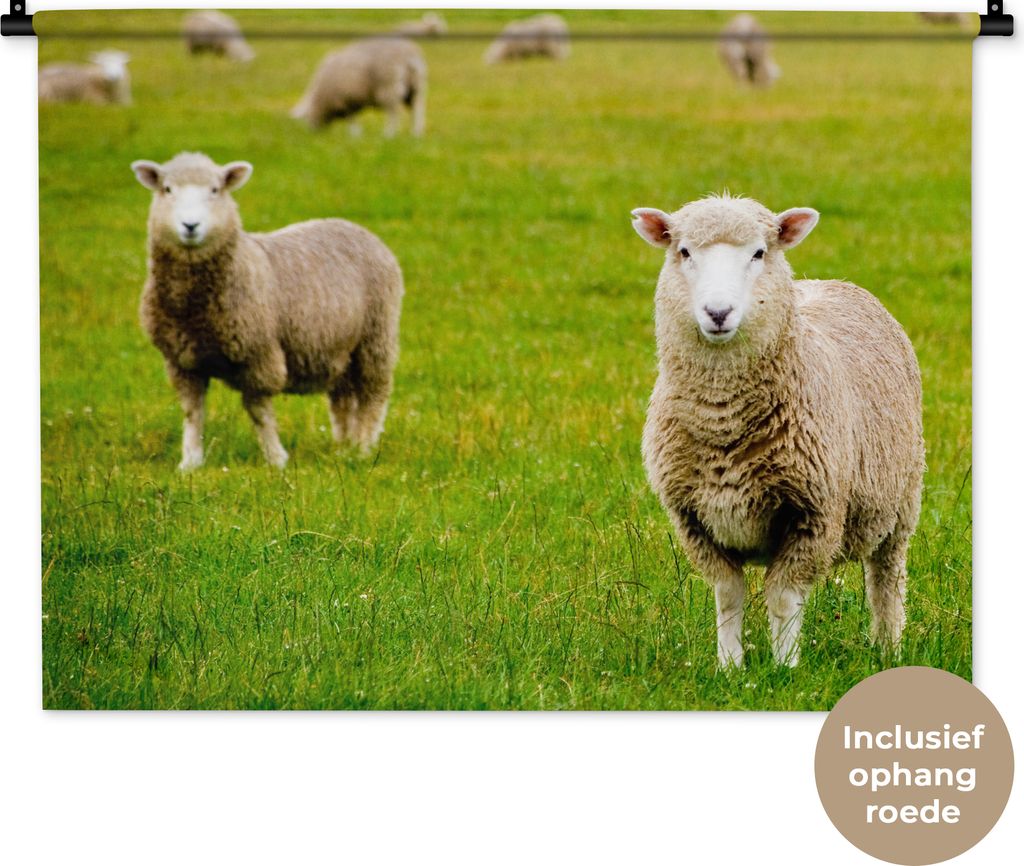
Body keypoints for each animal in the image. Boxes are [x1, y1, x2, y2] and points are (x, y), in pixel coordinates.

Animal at [131, 152, 403, 470]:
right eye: (167, 190)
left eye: (215, 190)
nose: (190, 225)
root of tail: (354, 227)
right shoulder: (182, 361)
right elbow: (192, 411)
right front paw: (190, 462)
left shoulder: (258, 354)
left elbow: (258, 411)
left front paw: (276, 459)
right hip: (339, 347)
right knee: (344, 397)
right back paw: (344, 447)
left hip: (375, 337)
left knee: (374, 394)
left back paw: (363, 448)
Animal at [291, 38, 427, 137]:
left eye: (305, 118)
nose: (313, 134)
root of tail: (409, 56)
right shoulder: (352, 103)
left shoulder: (345, 102)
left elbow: (352, 121)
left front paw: (354, 137)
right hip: (416, 88)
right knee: (417, 110)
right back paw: (416, 135)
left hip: (389, 88)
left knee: (393, 114)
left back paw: (388, 135)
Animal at [631, 195, 923, 668]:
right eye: (684, 252)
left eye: (758, 253)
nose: (718, 313)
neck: (724, 422)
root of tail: (830, 282)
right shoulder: (693, 519)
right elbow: (728, 595)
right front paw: (730, 667)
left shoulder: (814, 514)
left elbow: (784, 597)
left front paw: (785, 667)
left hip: (901, 500)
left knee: (887, 578)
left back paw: (888, 648)